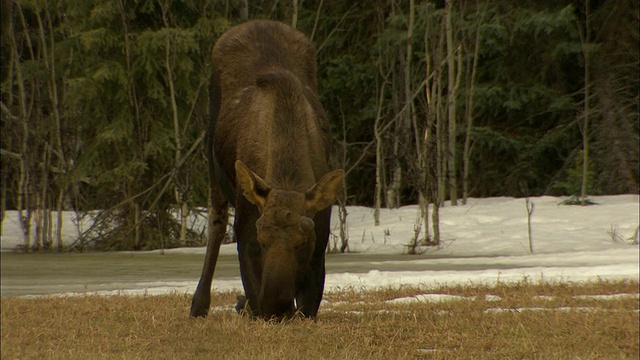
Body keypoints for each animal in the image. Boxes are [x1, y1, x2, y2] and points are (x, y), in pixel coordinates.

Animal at [189, 20, 344, 320]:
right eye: (261, 234)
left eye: (304, 238)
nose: (277, 305)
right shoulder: (246, 226)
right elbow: (253, 288)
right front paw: (249, 306)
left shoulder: (320, 236)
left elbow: (309, 303)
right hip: (210, 153)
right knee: (216, 222)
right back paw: (199, 304)